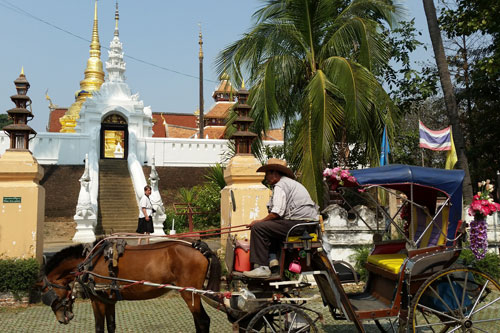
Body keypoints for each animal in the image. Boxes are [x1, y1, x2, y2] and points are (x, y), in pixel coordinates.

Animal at [37, 239, 221, 332]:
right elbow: (111, 326)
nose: (62, 318)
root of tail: (202, 249)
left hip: (189, 293)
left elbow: (99, 328)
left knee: (203, 321)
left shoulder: (98, 301)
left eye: (45, 291)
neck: (89, 261)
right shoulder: (109, 300)